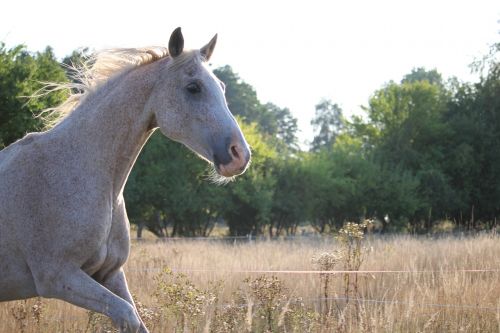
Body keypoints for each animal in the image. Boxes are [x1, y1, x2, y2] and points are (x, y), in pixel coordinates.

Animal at [0, 27, 250, 330]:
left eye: (222, 87)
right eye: (193, 87)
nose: (239, 154)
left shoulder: (110, 274)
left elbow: (138, 321)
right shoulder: (58, 277)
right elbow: (127, 316)